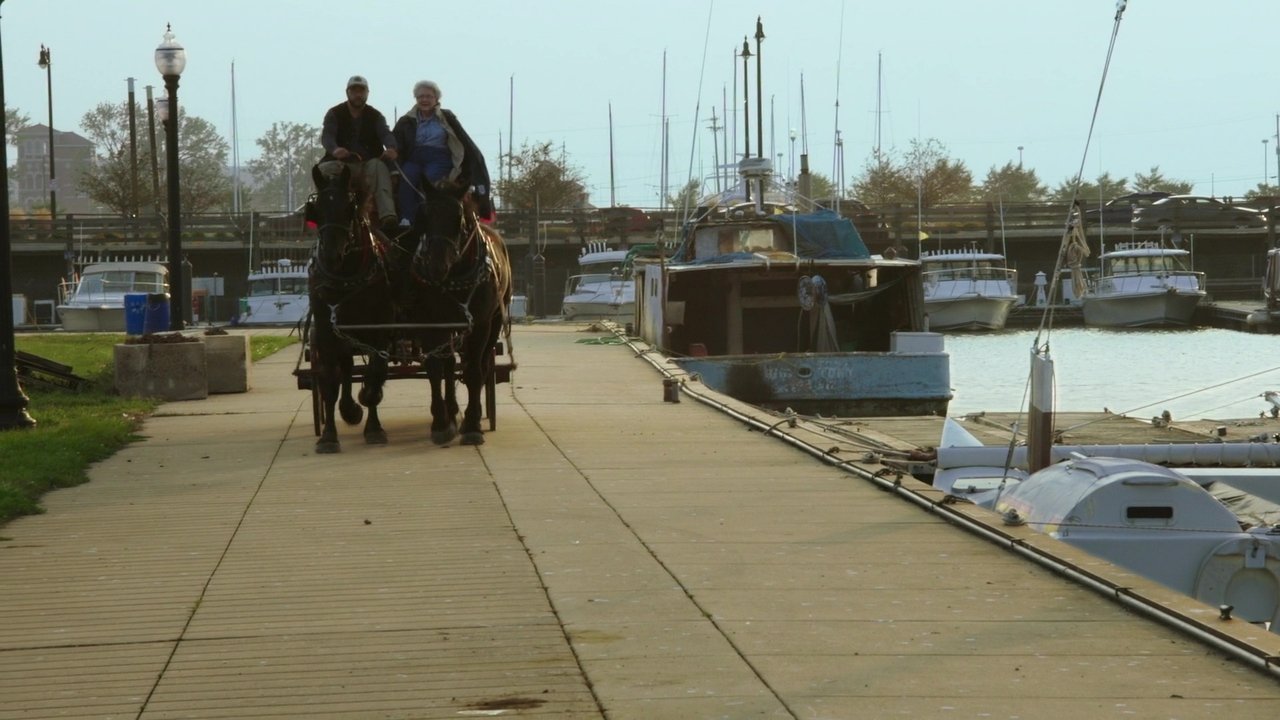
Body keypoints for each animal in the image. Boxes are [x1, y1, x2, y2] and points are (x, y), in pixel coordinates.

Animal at [305, 163, 394, 453]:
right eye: (317, 209)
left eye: (349, 207)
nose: (331, 255)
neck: (345, 276)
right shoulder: (326, 329)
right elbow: (330, 381)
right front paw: (329, 436)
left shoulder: (380, 328)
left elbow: (375, 373)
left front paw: (374, 428)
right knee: (344, 368)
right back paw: (349, 408)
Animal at [404, 180, 514, 443]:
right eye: (424, 216)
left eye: (458, 218)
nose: (436, 265)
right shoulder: (432, 323)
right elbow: (436, 368)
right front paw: (441, 423)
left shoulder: (481, 324)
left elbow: (473, 370)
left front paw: (472, 425)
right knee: (449, 365)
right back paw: (451, 412)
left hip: (495, 320)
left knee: (480, 365)